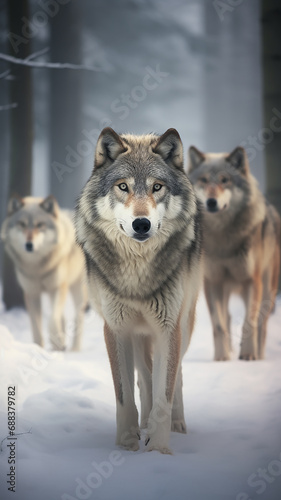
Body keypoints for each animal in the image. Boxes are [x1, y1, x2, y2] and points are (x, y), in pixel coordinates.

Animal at [1, 193, 87, 350]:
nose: (29, 245)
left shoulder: (58, 288)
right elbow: (36, 327)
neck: (37, 268)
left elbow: (52, 319)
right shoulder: (32, 293)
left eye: (40, 225)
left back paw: (74, 349)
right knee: (63, 318)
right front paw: (39, 348)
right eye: (22, 224)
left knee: (78, 316)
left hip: (77, 291)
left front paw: (56, 341)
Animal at [74, 126, 201, 454]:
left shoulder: (168, 328)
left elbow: (164, 394)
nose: (141, 224)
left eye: (157, 187)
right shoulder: (116, 328)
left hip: (184, 324)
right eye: (123, 186)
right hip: (140, 333)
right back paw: (143, 424)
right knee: (144, 377)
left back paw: (177, 425)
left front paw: (158, 450)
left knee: (176, 375)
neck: (137, 274)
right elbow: (124, 395)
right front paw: (127, 443)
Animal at [187, 146, 278, 362]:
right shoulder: (213, 282)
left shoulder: (252, 281)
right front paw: (221, 358)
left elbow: (249, 322)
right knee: (227, 318)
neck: (223, 239)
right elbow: (219, 325)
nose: (211, 202)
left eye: (224, 180)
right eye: (204, 180)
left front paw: (249, 355)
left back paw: (259, 355)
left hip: (267, 291)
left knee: (261, 325)